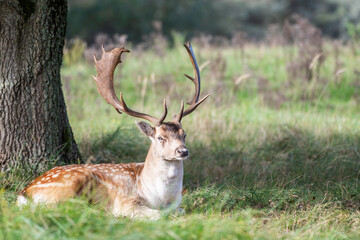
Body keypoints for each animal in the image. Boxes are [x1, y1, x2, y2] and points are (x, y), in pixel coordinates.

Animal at [16, 41, 208, 219]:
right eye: (161, 137)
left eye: (184, 135)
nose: (183, 151)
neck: (161, 198)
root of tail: (25, 192)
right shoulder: (126, 201)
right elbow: (159, 215)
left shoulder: (177, 205)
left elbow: (180, 211)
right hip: (69, 185)